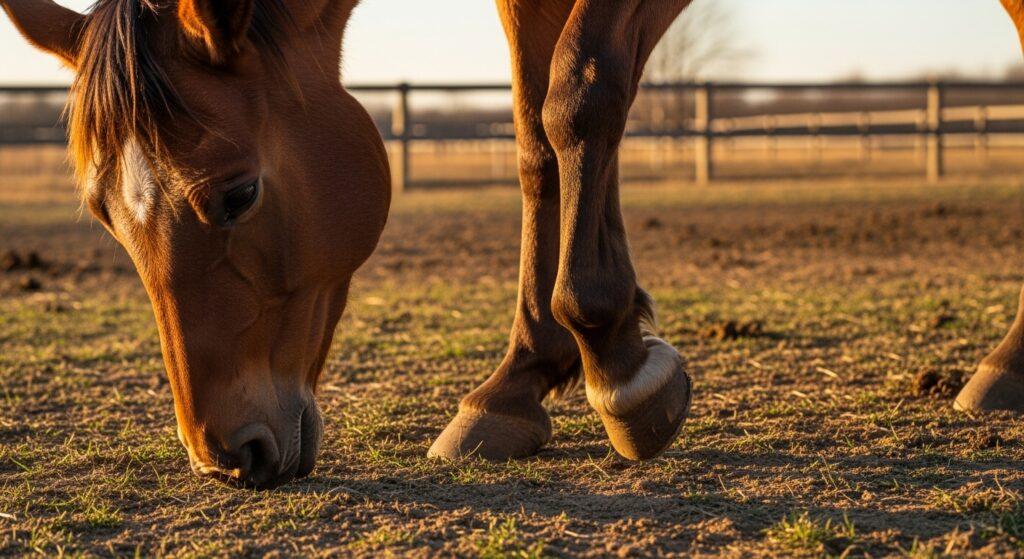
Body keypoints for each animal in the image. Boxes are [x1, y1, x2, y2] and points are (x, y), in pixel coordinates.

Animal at [3, 0, 1022, 489]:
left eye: (236, 193)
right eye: (105, 217)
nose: (225, 452)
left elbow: (581, 89)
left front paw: (619, 363)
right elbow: (537, 134)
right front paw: (524, 378)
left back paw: (1006, 363)